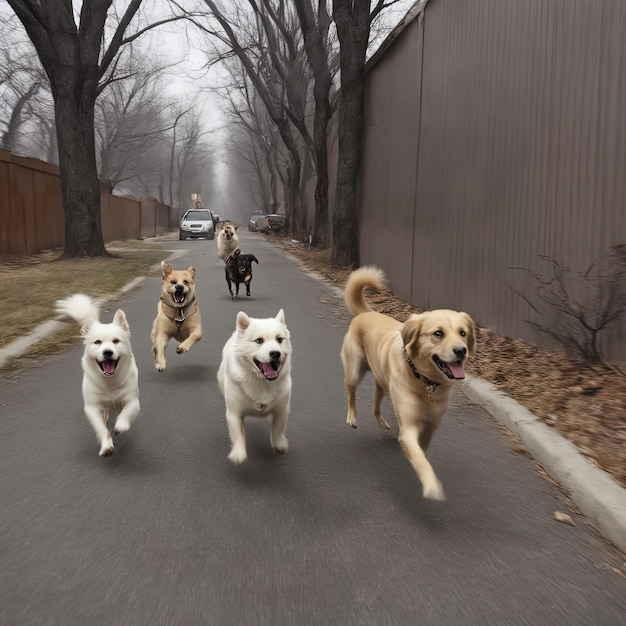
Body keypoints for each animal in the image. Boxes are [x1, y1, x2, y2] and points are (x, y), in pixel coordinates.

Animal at [54, 290, 139, 456]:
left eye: (116, 341)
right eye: (97, 342)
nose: (107, 352)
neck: (109, 382)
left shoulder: (133, 400)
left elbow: (127, 412)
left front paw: (121, 425)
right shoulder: (92, 407)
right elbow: (101, 428)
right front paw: (106, 447)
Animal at [216, 308, 292, 464]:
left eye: (279, 339)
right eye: (259, 341)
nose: (275, 353)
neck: (261, 382)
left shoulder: (282, 410)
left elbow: (278, 429)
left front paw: (279, 445)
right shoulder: (234, 414)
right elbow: (238, 434)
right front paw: (238, 453)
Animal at [342, 266, 472, 500]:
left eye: (463, 333)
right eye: (438, 333)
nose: (461, 351)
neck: (426, 381)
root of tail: (366, 313)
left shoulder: (433, 422)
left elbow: (424, 444)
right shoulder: (409, 427)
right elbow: (420, 459)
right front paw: (431, 486)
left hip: (382, 383)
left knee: (375, 405)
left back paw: (382, 423)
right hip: (354, 371)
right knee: (351, 394)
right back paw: (352, 417)